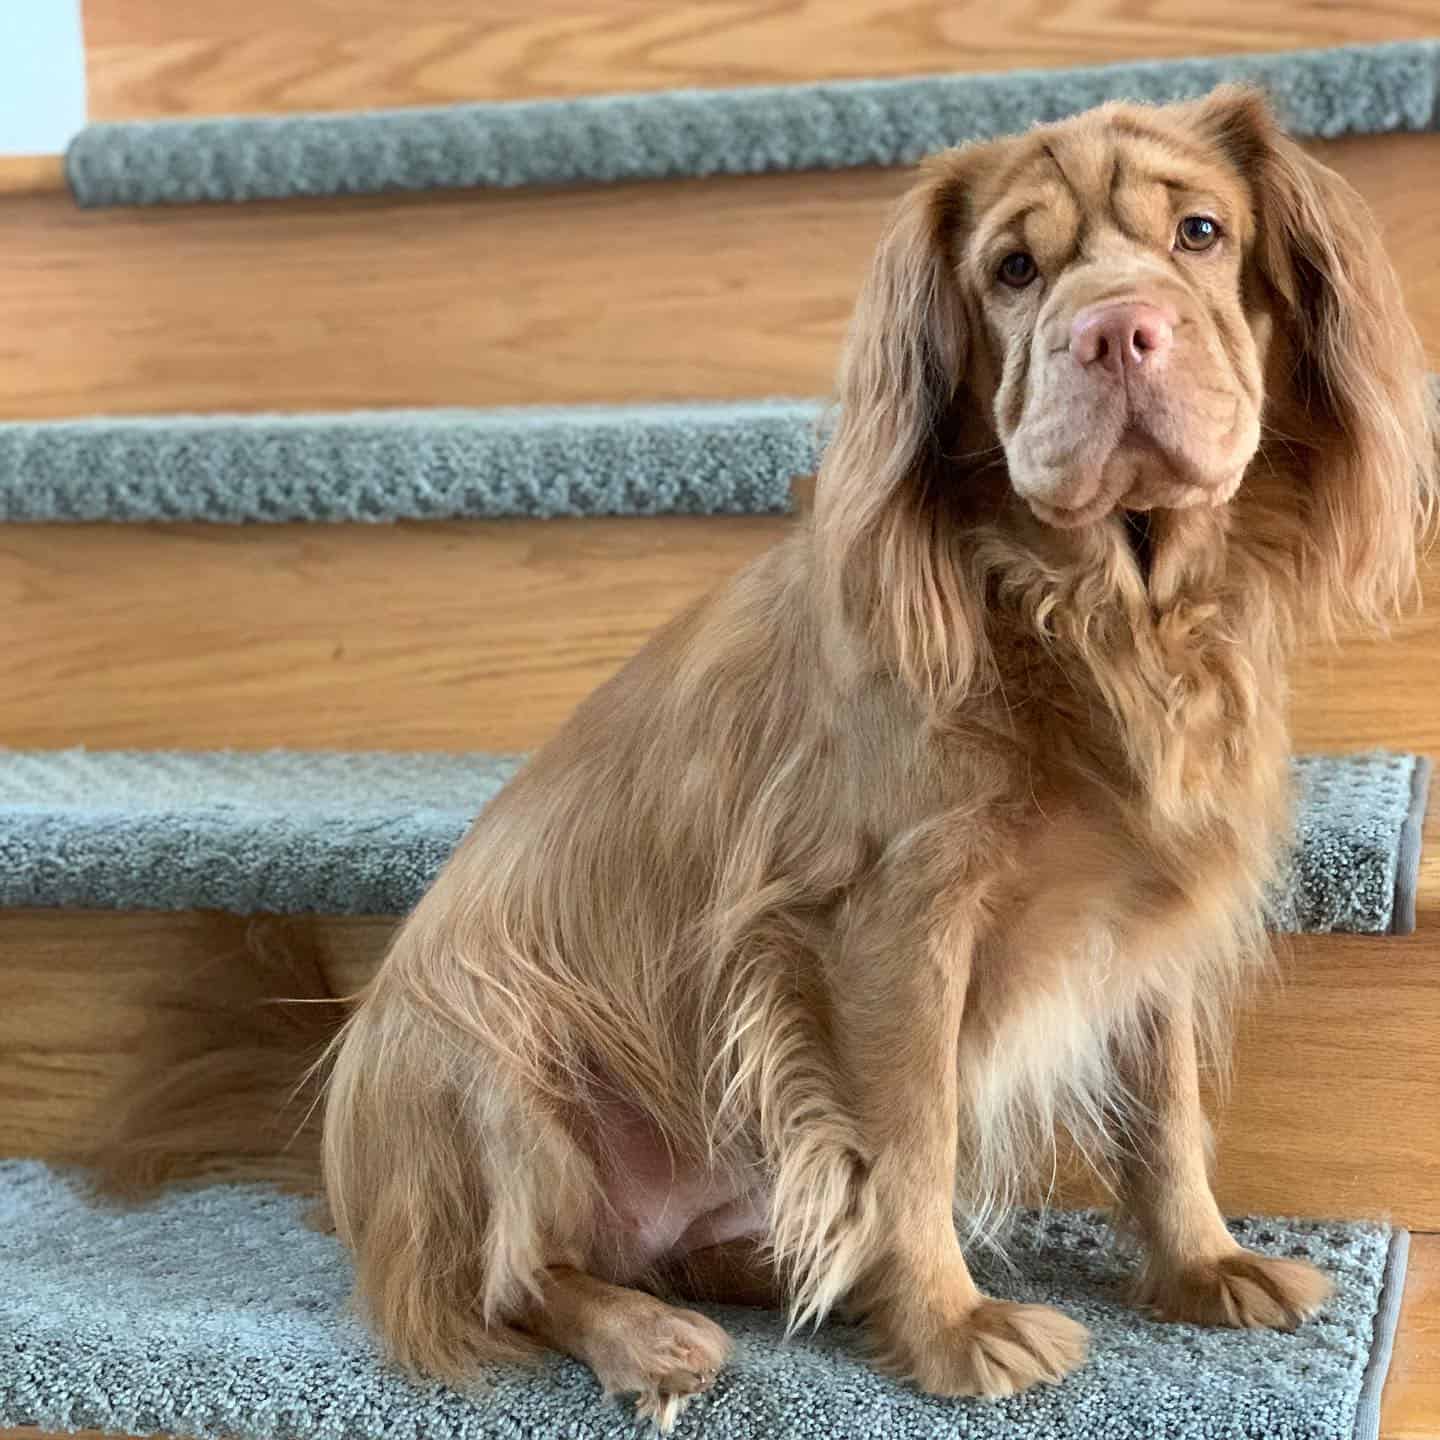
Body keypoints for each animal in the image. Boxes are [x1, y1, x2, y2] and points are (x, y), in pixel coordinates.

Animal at [95, 90, 1434, 1428]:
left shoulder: (1148, 907)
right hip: (488, 1044)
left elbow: (1164, 1118)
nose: (1117, 332)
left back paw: (801, 1272)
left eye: (1202, 232)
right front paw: (950, 1327)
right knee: (516, 1279)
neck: (1098, 611)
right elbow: (914, 1142)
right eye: (1012, 271)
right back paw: (652, 1336)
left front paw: (1203, 1265)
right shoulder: (886, 926)